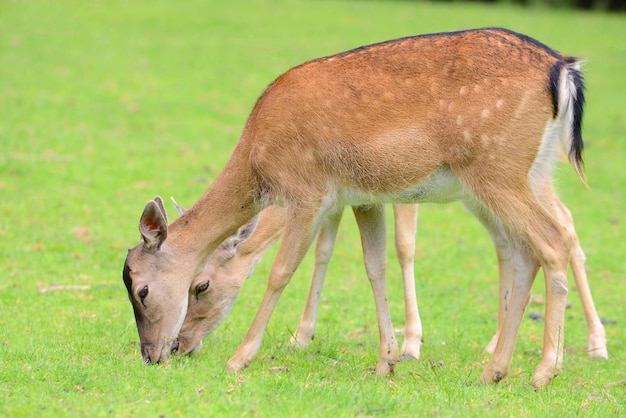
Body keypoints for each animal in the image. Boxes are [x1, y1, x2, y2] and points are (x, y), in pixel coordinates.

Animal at [123, 28, 596, 388]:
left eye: (198, 285)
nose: (163, 350)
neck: (259, 161)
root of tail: (564, 69)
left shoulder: (307, 189)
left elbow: (281, 271)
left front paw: (240, 359)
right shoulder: (364, 196)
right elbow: (374, 266)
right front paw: (387, 361)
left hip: (496, 169)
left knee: (553, 241)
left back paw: (544, 371)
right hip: (527, 173)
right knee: (527, 252)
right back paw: (493, 370)